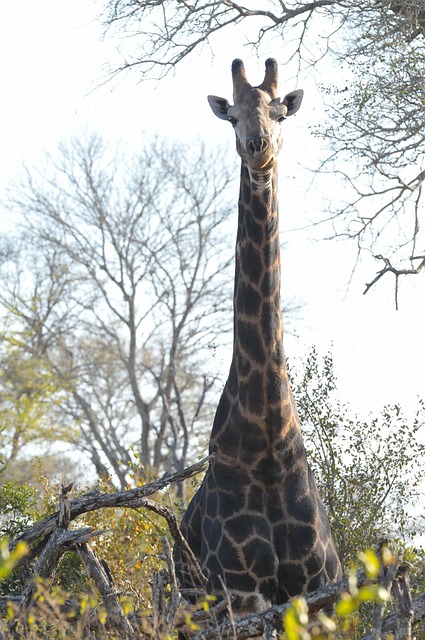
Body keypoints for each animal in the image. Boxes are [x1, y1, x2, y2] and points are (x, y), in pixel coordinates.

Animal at [172, 58, 342, 624]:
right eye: (232, 116)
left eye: (279, 112)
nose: (258, 145)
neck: (268, 433)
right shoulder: (241, 595)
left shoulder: (319, 589)